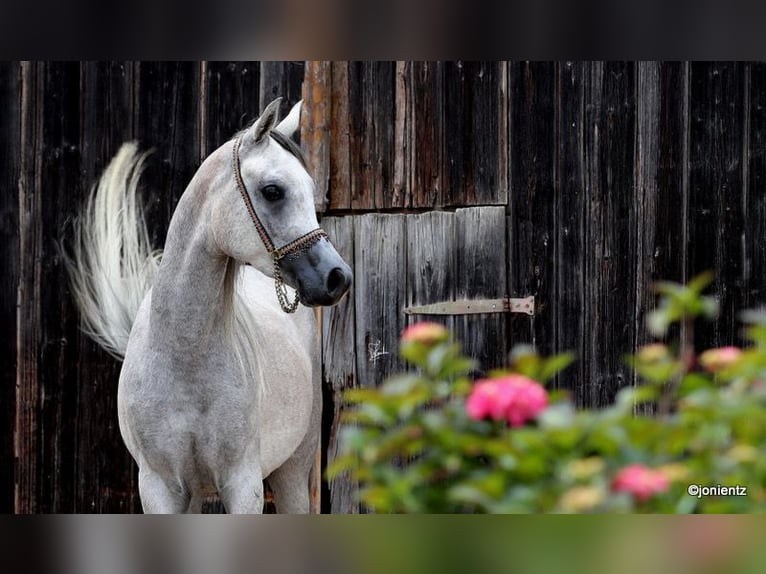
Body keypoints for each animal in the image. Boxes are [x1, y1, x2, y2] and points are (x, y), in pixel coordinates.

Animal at [65, 98, 352, 513]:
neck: (183, 356)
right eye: (273, 191)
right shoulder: (160, 487)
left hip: (293, 472)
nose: (337, 277)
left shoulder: (243, 485)